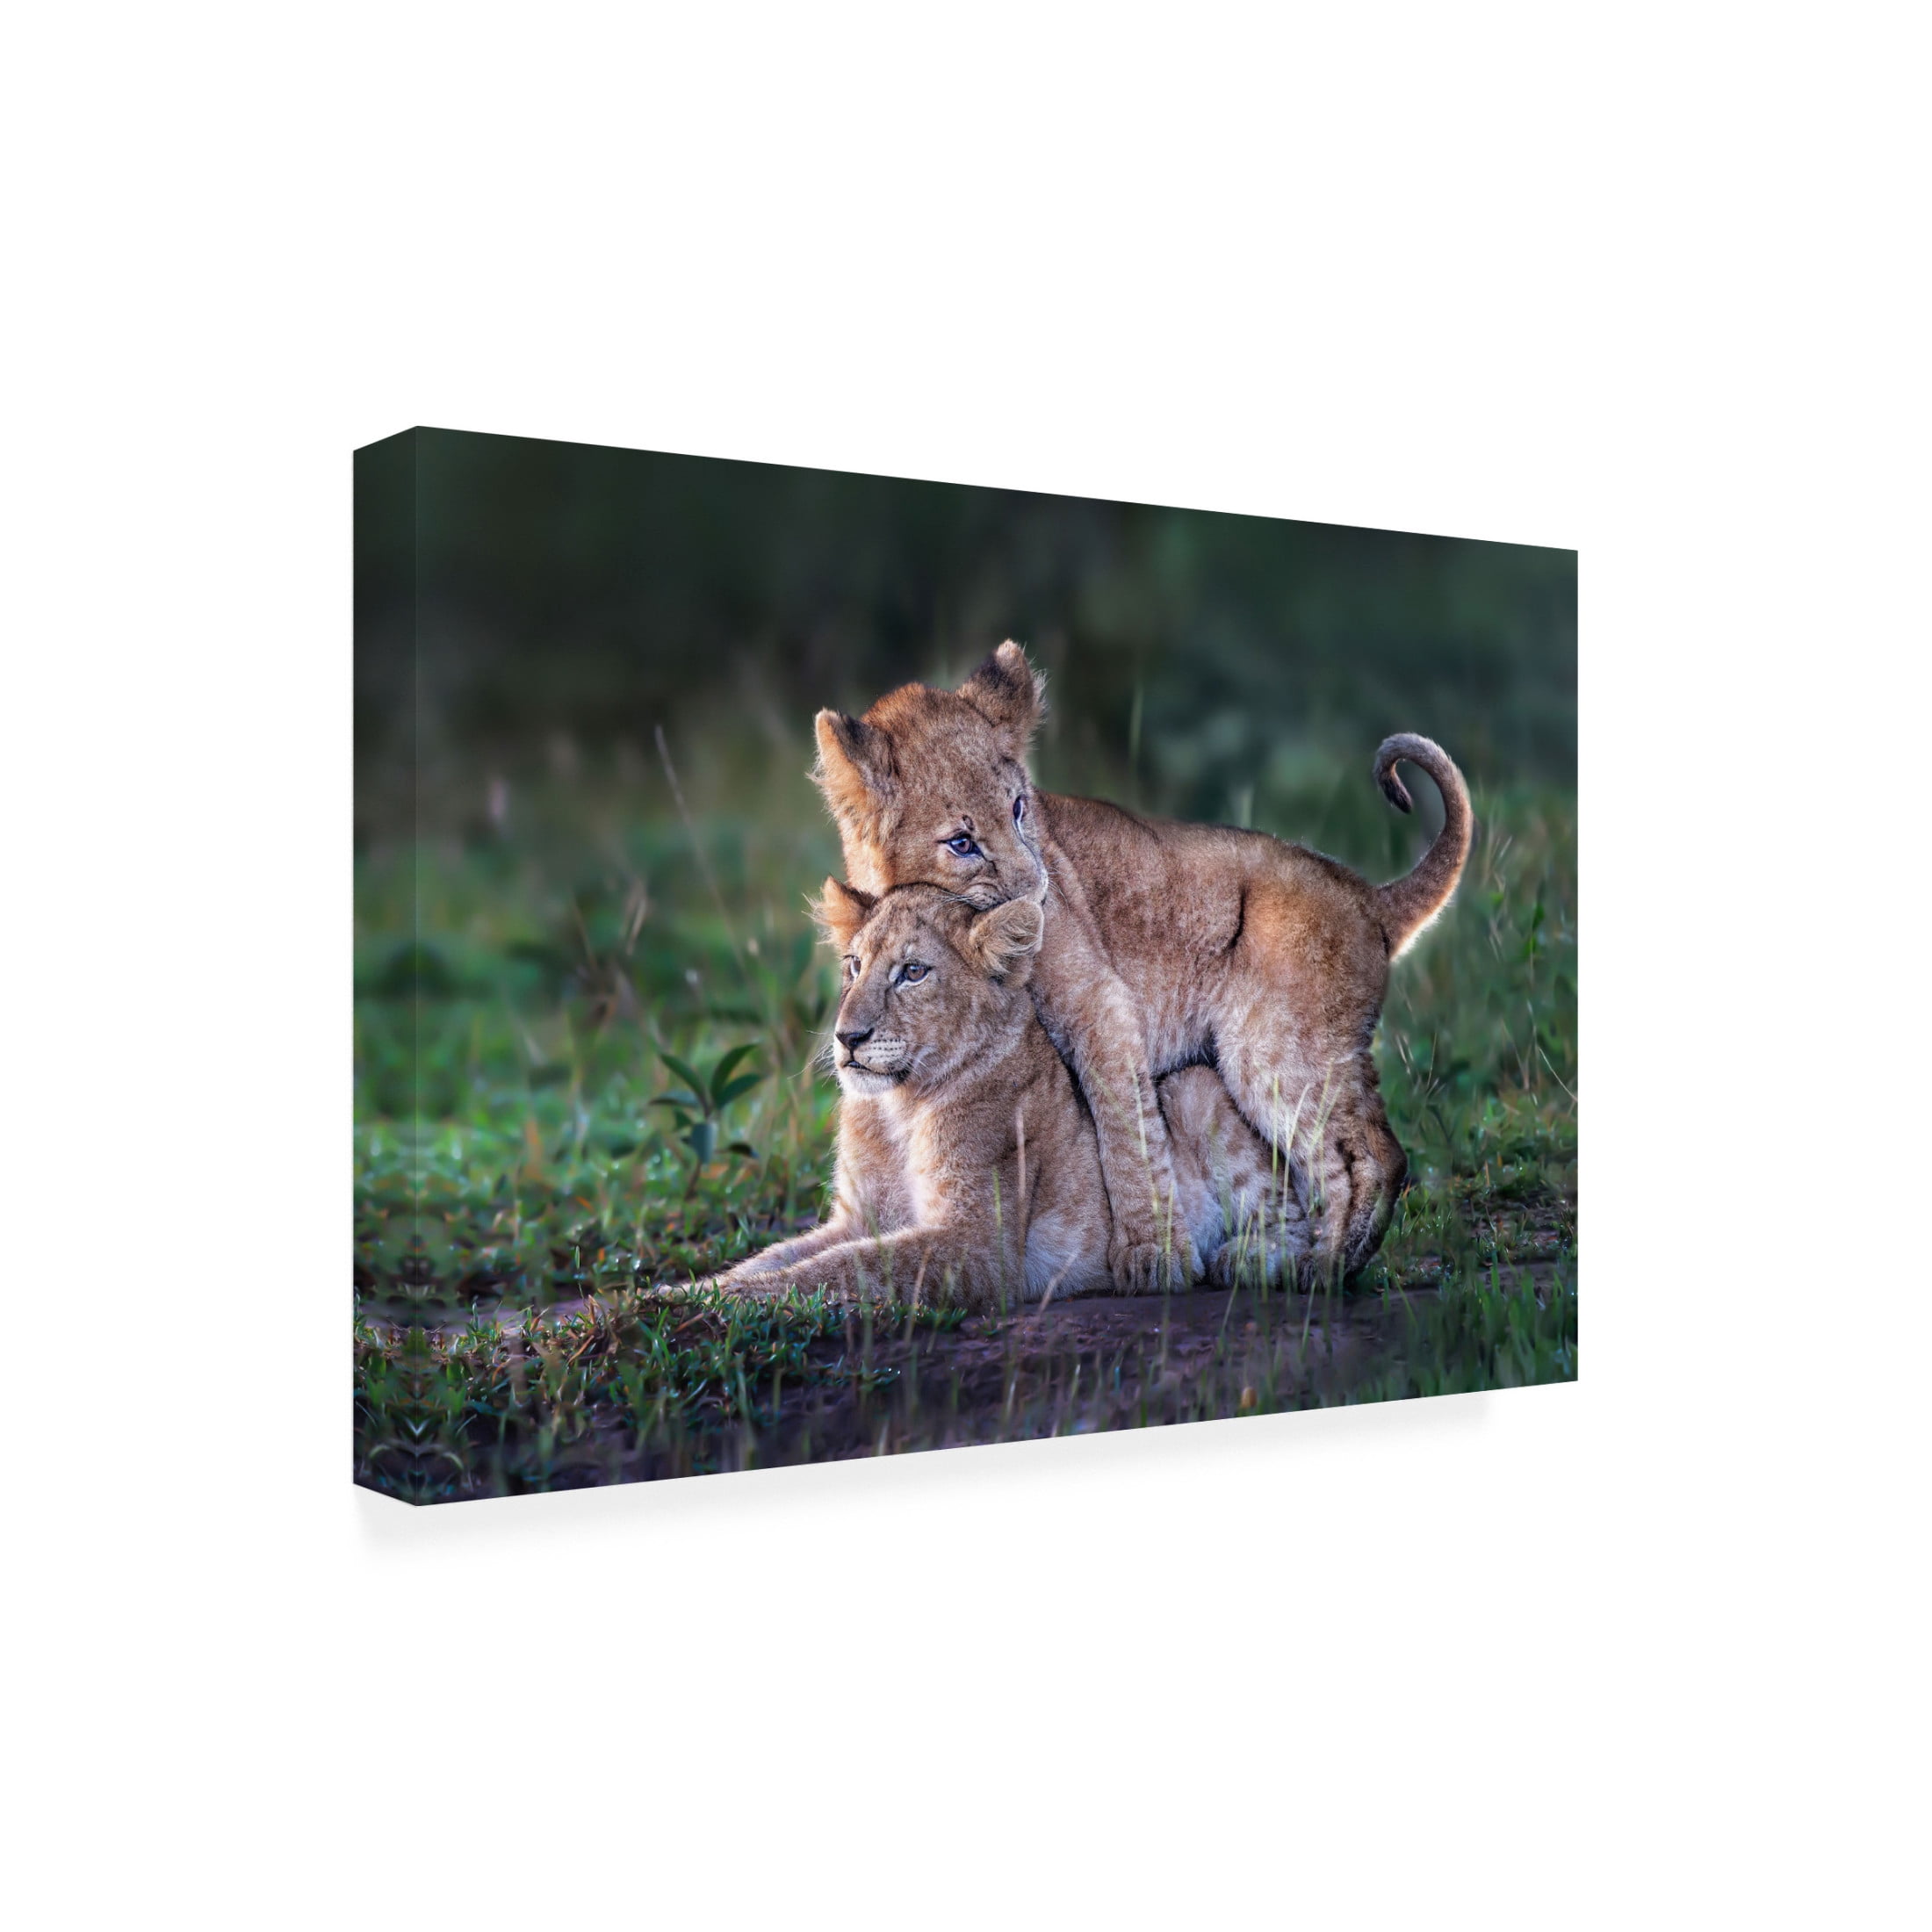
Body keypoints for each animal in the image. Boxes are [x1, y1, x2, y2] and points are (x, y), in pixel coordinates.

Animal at [716, 880, 1309, 1309]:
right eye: (854, 966)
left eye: (913, 972)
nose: (847, 1038)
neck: (896, 1108)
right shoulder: (856, 1220)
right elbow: (779, 1256)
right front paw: (699, 1291)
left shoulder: (977, 1245)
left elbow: (843, 1268)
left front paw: (734, 1300)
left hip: (1193, 1086)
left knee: (1301, 1226)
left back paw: (1246, 1259)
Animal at [810, 641, 1471, 1287]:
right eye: (961, 842)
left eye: (1020, 809)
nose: (1039, 895)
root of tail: (1366, 894)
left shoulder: (1099, 1003)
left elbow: (1127, 1130)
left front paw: (1154, 1254)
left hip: (1273, 1049)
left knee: (1372, 1156)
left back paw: (1321, 1266)